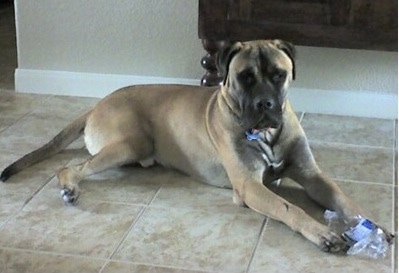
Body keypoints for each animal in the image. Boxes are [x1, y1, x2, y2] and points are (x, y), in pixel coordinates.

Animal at [0, 39, 394, 251]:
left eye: (279, 75)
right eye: (244, 78)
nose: (265, 105)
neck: (266, 134)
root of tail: (97, 104)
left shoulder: (312, 175)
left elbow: (344, 198)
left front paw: (374, 225)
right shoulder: (249, 187)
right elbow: (289, 208)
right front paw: (322, 233)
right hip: (128, 142)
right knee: (69, 167)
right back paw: (69, 187)